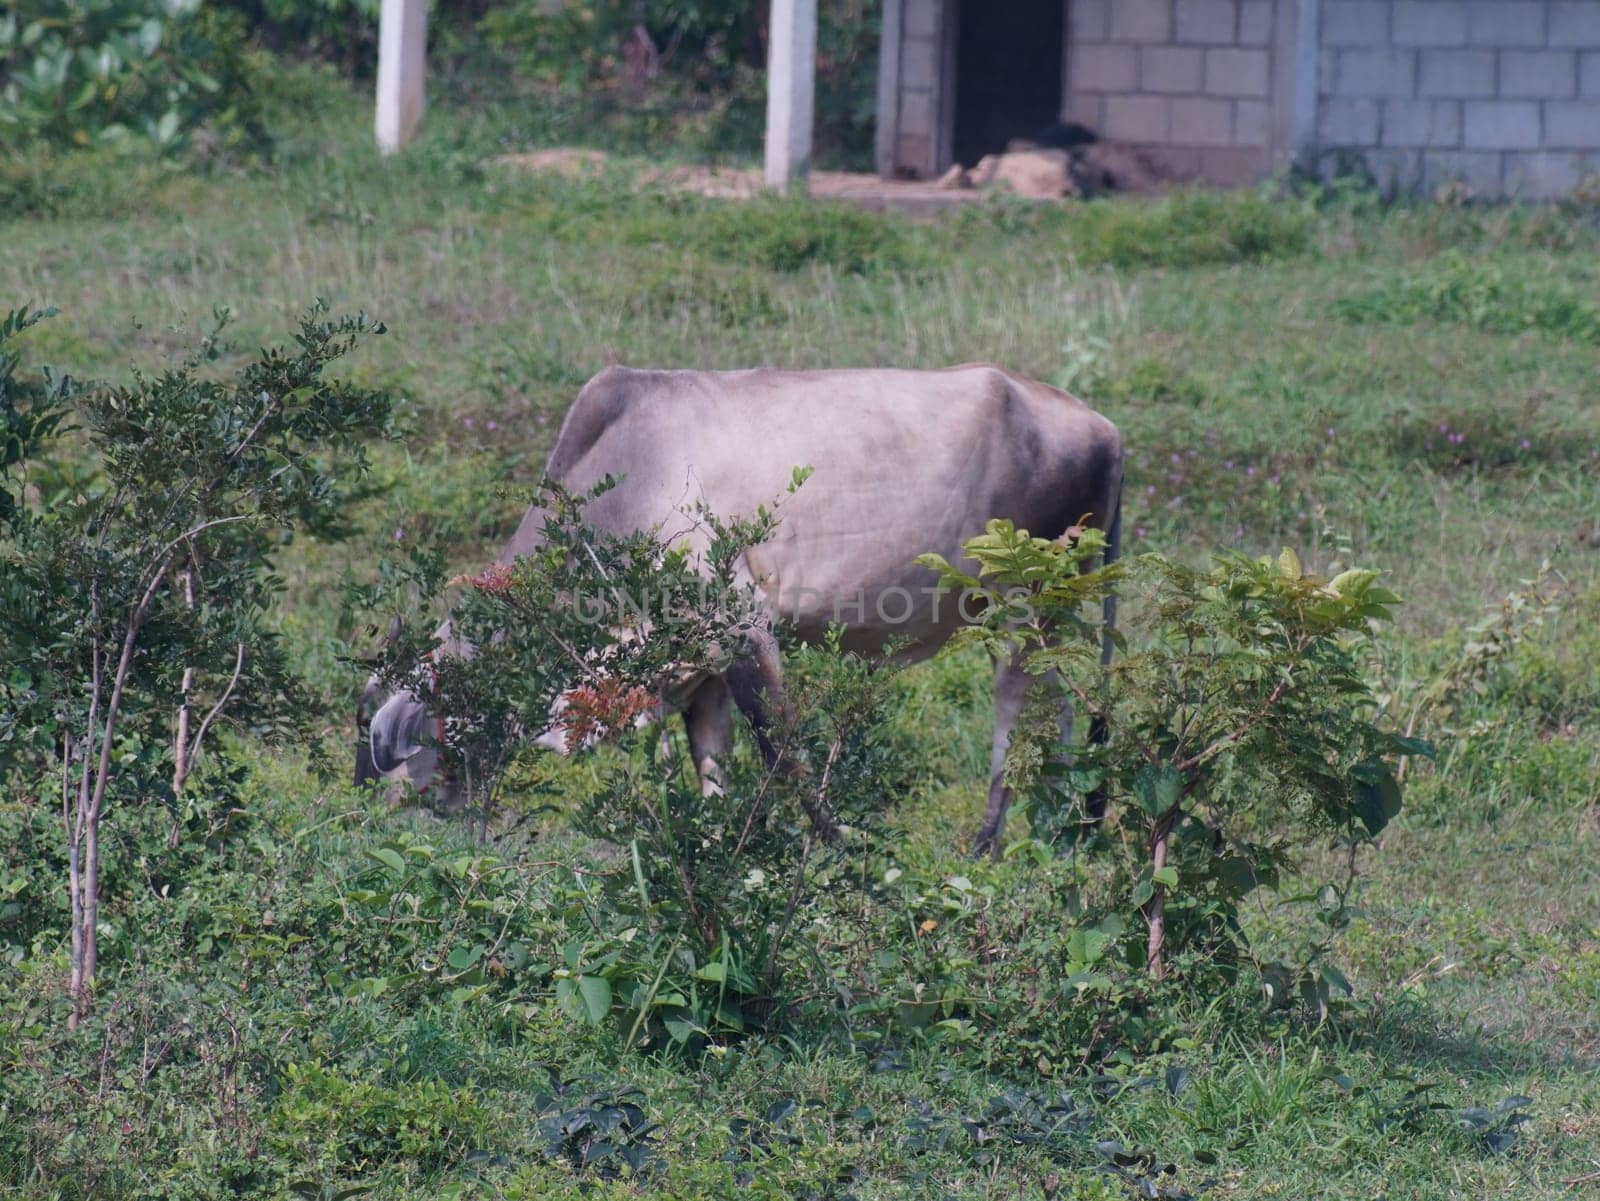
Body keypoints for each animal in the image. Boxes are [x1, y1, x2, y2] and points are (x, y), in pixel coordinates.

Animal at [356, 364, 1120, 857]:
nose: (393, 822)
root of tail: (1101, 425)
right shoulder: (701, 661)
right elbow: (710, 759)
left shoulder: (741, 626)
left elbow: (780, 749)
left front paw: (841, 845)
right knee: (1060, 704)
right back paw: (1059, 831)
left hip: (1025, 605)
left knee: (1018, 708)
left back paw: (993, 841)